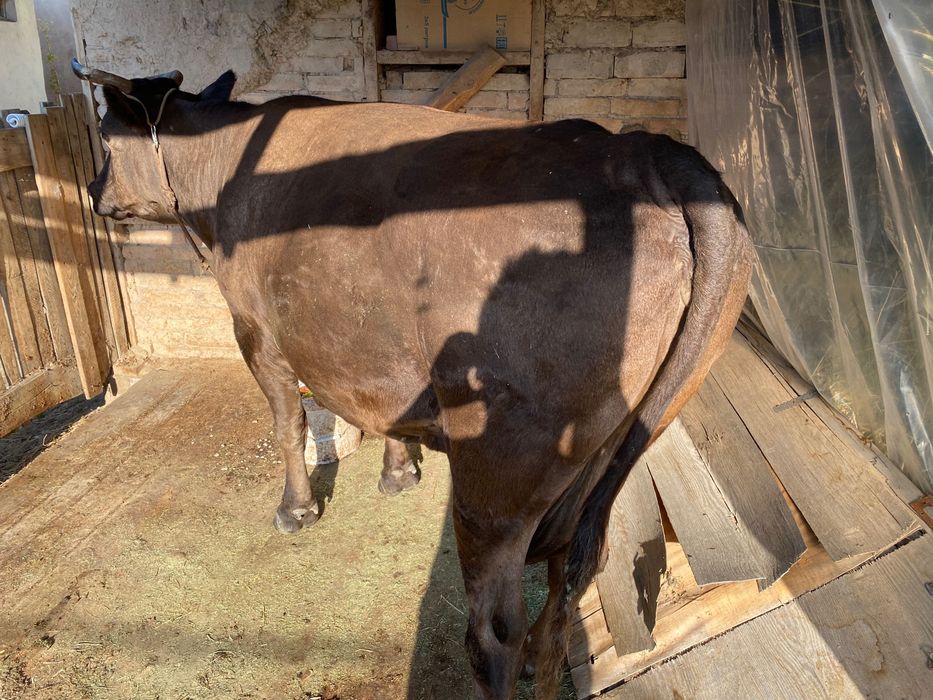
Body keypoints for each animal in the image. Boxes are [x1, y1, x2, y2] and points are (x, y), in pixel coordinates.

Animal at [72, 60, 753, 699]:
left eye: (104, 136)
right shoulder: (369, 353)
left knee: (494, 632)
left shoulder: (255, 331)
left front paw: (296, 509)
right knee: (568, 589)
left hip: (496, 481)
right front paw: (398, 473)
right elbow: (379, 407)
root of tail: (646, 154)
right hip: (612, 459)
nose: (92, 189)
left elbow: (288, 426)